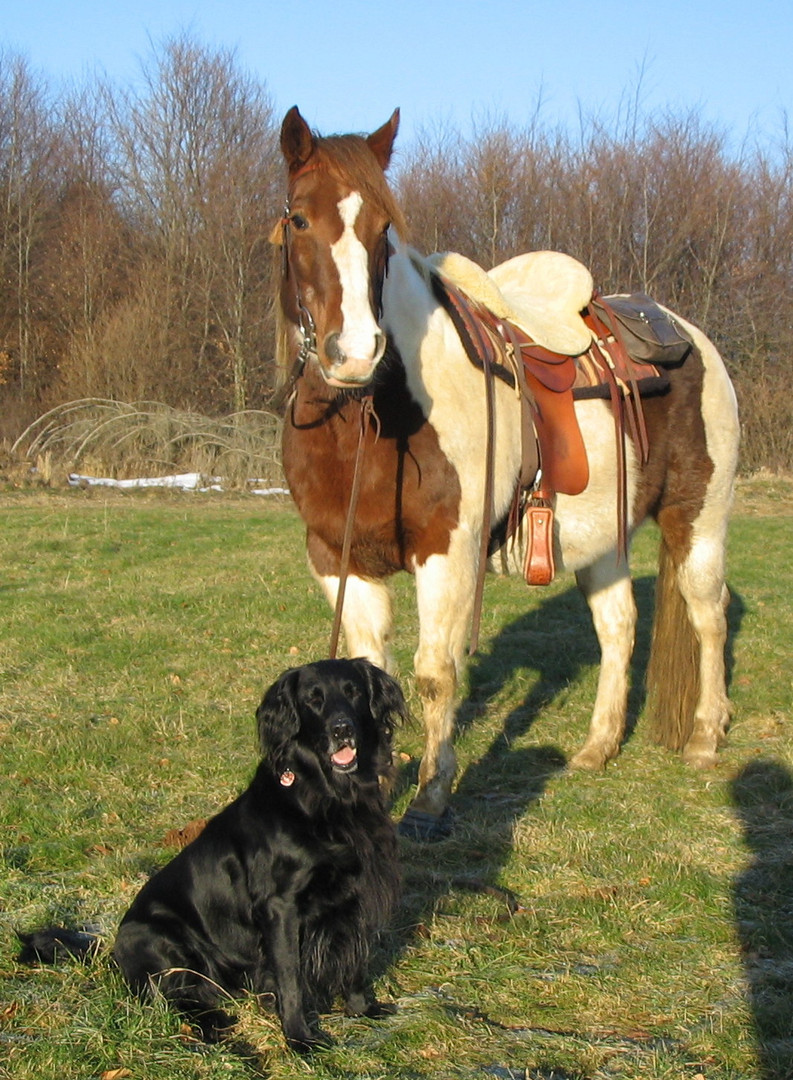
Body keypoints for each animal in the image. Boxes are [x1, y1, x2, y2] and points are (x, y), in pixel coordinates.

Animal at [21, 656, 406, 1054]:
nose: (342, 729)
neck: (330, 798)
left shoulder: (356, 891)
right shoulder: (281, 907)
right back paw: (217, 1028)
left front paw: (363, 1009)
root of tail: (113, 953)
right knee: (175, 1002)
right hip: (160, 937)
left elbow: (356, 959)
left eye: (353, 692)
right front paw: (300, 1038)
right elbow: (291, 978)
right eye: (313, 699)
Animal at [273, 105, 743, 838]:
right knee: (618, 629)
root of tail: (691, 336)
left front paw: (430, 797)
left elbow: (434, 674)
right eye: (298, 218)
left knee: (708, 615)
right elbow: (367, 674)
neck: (372, 420)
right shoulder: (335, 558)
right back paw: (597, 745)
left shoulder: (447, 552)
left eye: (383, 229)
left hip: (696, 519)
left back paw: (702, 736)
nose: (354, 353)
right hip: (603, 541)